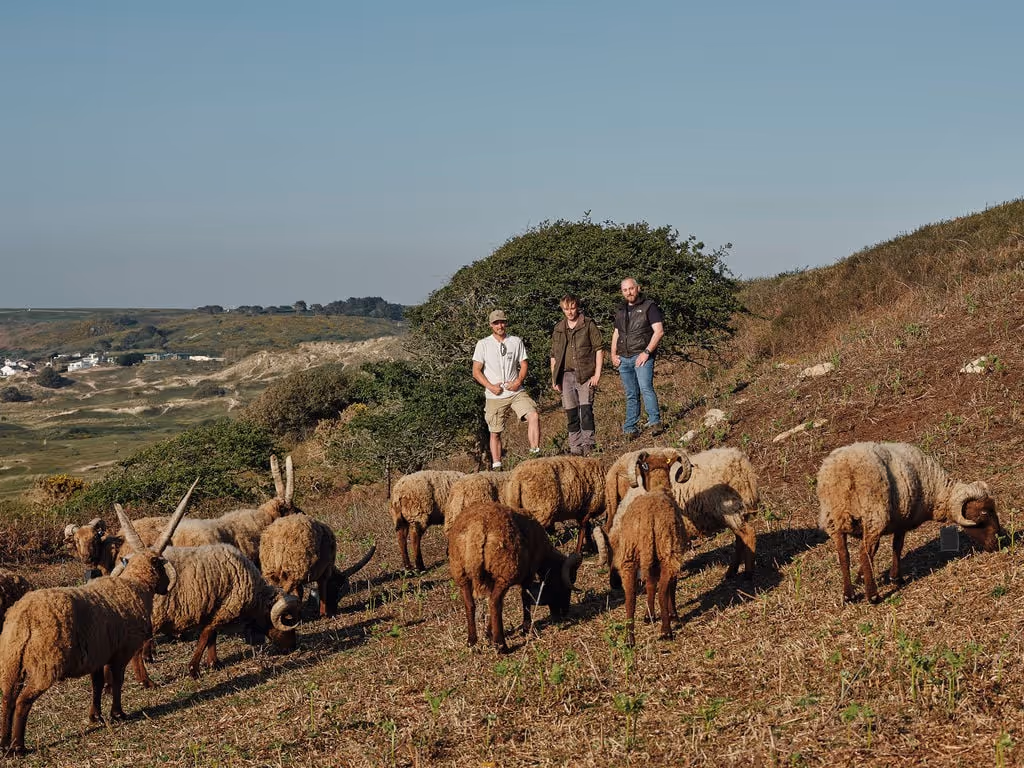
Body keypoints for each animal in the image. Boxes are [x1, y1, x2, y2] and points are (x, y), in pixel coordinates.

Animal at [0, 484, 192, 756]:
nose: (165, 589)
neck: (134, 585)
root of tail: (24, 618)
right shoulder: (121, 651)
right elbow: (118, 680)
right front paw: (118, 714)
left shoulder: (98, 654)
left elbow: (97, 683)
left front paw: (96, 716)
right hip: (45, 665)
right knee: (22, 701)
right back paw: (18, 746)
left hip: (10, 662)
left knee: (6, 699)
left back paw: (4, 742)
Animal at [131, 543, 302, 686]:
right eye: (287, 620)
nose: (292, 648)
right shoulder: (225, 609)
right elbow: (206, 636)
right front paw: (194, 670)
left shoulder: (215, 609)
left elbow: (211, 636)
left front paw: (214, 663)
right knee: (136, 652)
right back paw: (146, 681)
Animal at [447, 501, 582, 653]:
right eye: (566, 584)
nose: (565, 612)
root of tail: (477, 528)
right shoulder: (528, 574)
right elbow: (525, 598)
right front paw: (526, 628)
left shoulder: (492, 579)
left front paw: (488, 633)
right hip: (505, 572)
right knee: (494, 603)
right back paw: (501, 645)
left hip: (461, 573)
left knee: (471, 604)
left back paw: (471, 640)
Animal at [593, 451, 690, 647]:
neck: (658, 488)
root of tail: (647, 520)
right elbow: (670, 587)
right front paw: (673, 615)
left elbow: (650, 585)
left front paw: (648, 615)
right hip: (668, 552)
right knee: (663, 590)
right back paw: (666, 631)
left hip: (630, 557)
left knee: (630, 598)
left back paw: (630, 639)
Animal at [817, 441, 1005, 604]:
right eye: (984, 513)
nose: (998, 542)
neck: (935, 491)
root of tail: (843, 469)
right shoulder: (902, 520)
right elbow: (896, 547)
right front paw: (895, 578)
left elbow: (876, 549)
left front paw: (860, 578)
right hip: (873, 514)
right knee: (864, 553)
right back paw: (873, 596)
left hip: (834, 519)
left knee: (843, 555)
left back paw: (848, 595)